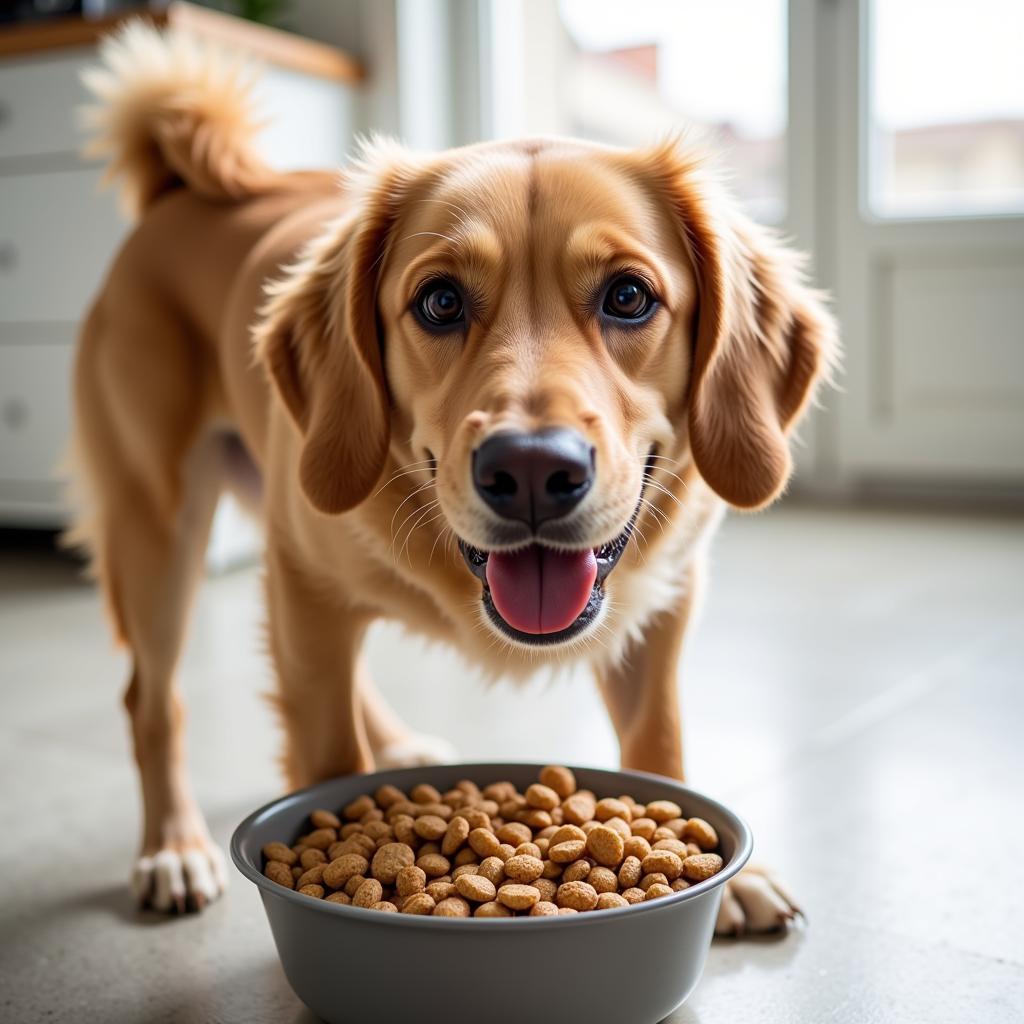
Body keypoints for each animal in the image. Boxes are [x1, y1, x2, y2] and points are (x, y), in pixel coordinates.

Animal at [72, 25, 835, 937]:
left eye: (629, 296)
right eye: (439, 303)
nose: (534, 469)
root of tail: (179, 193)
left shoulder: (666, 599)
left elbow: (660, 742)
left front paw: (727, 880)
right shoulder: (304, 585)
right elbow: (328, 749)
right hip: (161, 529)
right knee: (150, 701)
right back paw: (173, 845)